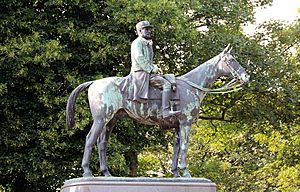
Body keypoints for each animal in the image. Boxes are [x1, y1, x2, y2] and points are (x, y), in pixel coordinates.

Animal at [67, 45, 250, 178]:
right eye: (231, 60)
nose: (246, 77)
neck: (191, 86)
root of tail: (94, 83)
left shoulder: (177, 126)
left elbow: (176, 149)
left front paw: (176, 173)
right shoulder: (185, 123)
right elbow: (184, 147)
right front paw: (185, 172)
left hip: (110, 121)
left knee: (102, 144)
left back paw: (106, 173)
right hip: (101, 120)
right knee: (90, 140)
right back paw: (87, 172)